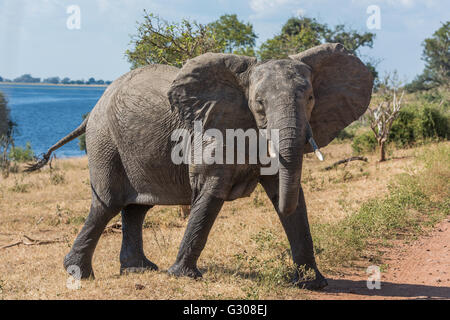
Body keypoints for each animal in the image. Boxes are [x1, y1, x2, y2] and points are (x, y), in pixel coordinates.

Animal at [28, 42, 372, 290]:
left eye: (311, 98)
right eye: (258, 104)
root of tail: (92, 109)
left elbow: (287, 193)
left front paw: (312, 284)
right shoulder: (212, 130)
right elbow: (211, 192)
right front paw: (183, 276)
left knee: (136, 208)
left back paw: (139, 269)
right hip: (104, 140)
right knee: (107, 204)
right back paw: (80, 274)